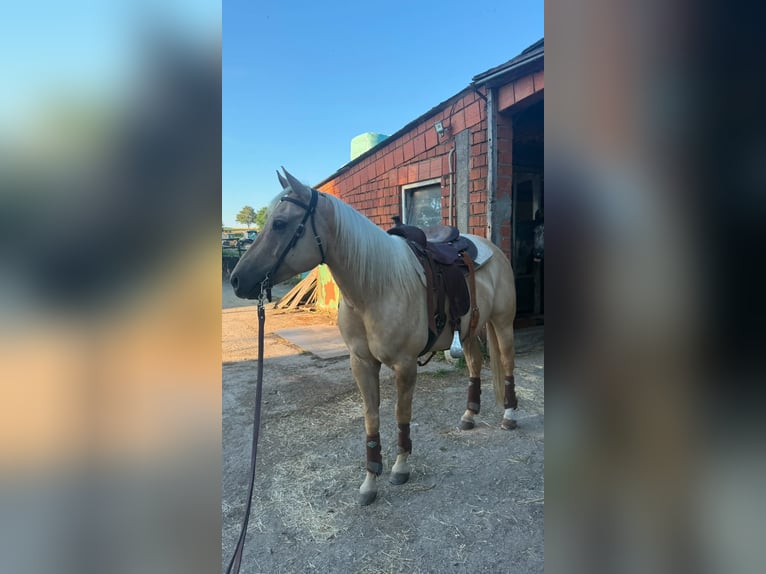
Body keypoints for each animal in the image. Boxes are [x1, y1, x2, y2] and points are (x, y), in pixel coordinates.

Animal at [230, 168, 519, 506]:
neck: (375, 289)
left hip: (503, 324)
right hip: (471, 330)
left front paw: (400, 468)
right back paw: (469, 416)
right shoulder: (362, 363)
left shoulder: (405, 366)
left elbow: (401, 414)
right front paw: (370, 482)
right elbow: (371, 419)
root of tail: (490, 247)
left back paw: (510, 415)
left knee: (508, 364)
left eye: (279, 223)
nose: (236, 280)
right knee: (473, 364)